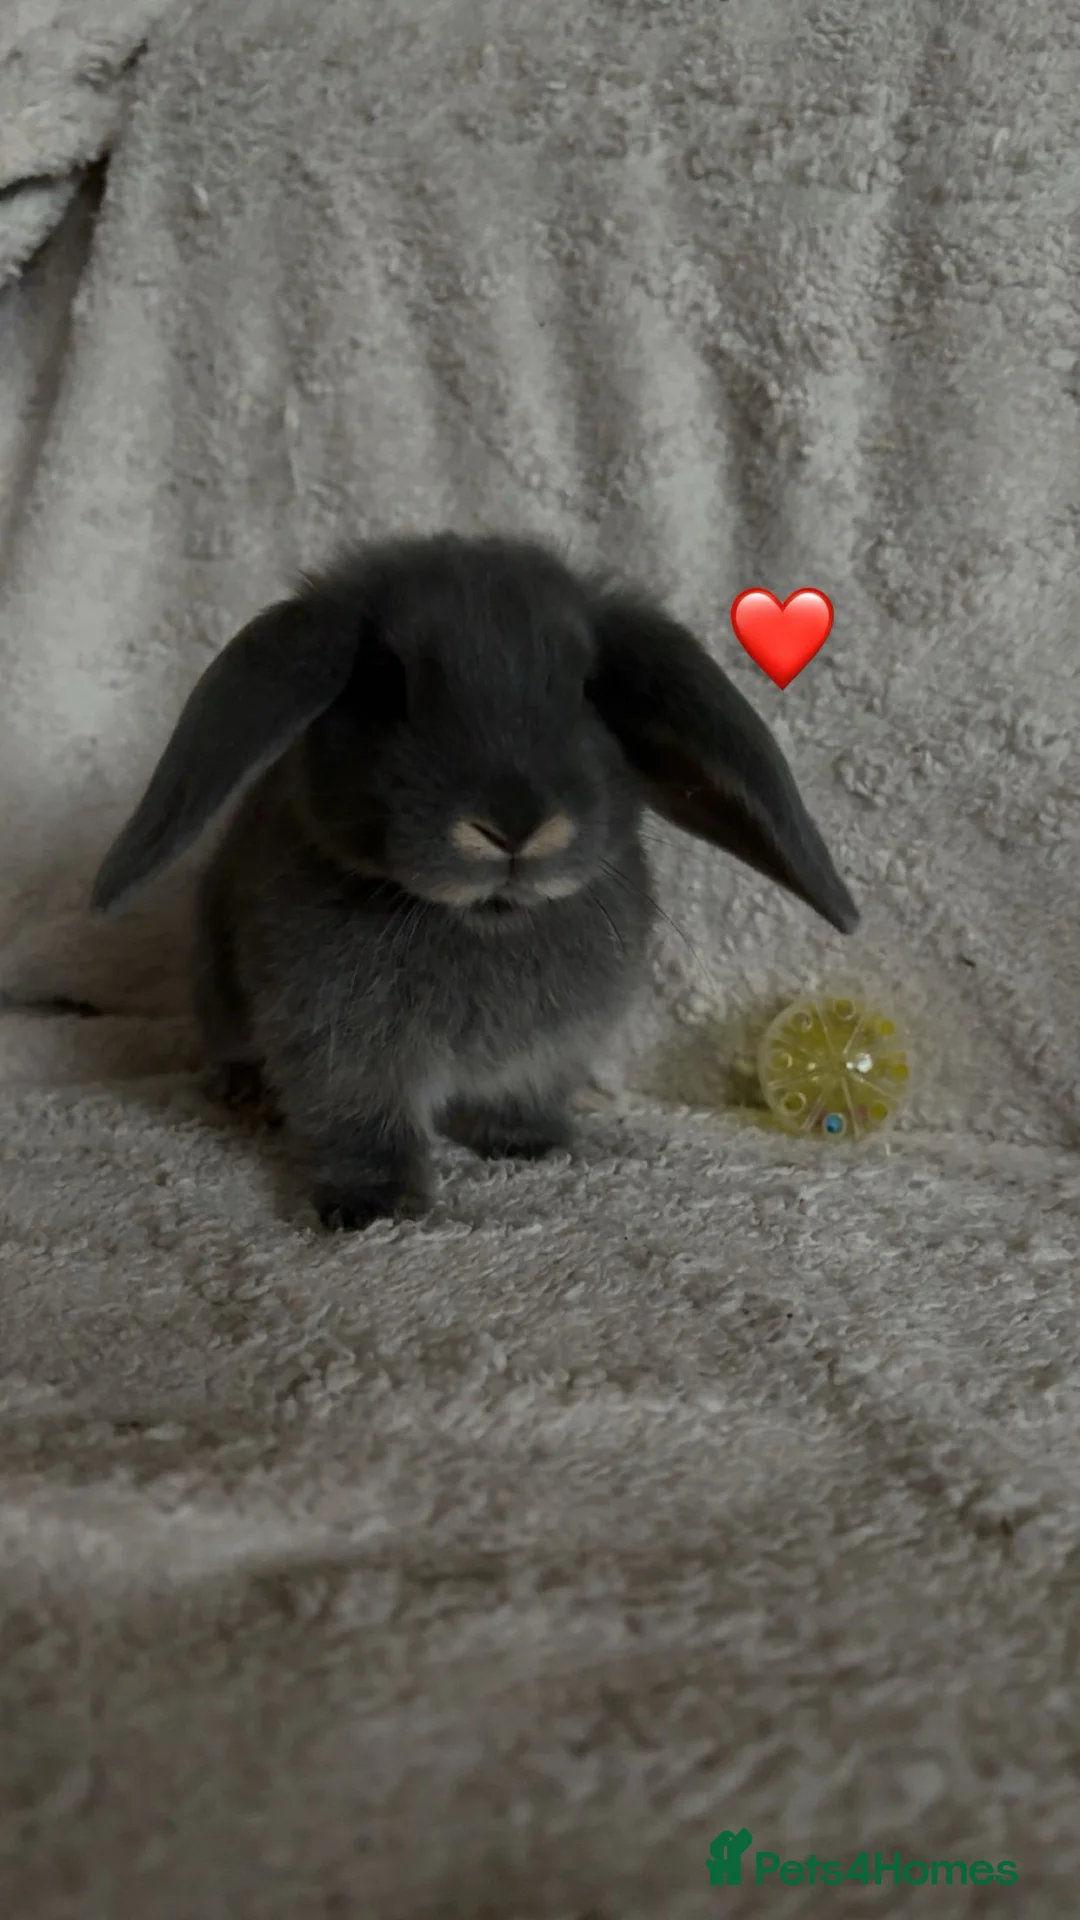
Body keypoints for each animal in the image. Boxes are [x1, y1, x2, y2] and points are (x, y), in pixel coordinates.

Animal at [91, 532, 858, 1230]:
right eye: (385, 683)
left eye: (589, 689)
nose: (513, 825)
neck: (485, 920)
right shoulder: (337, 1050)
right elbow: (358, 1120)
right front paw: (372, 1207)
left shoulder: (547, 1051)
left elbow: (515, 1098)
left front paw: (530, 1145)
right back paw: (243, 1093)